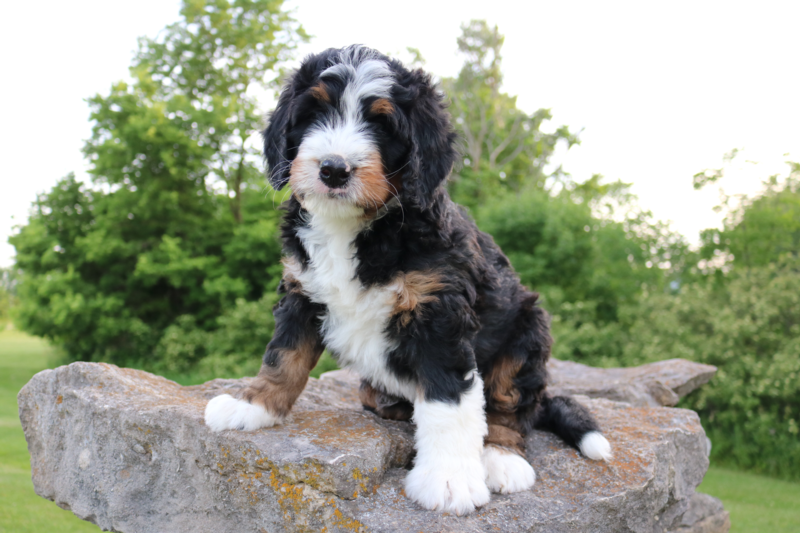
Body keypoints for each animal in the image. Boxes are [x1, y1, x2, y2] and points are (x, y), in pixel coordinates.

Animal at [203, 45, 608, 516]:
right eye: (312, 114)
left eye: (382, 124)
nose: (334, 170)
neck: (355, 226)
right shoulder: (301, 292)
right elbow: (282, 357)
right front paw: (252, 406)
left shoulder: (439, 313)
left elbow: (449, 401)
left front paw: (449, 479)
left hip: (528, 330)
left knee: (510, 404)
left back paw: (501, 457)